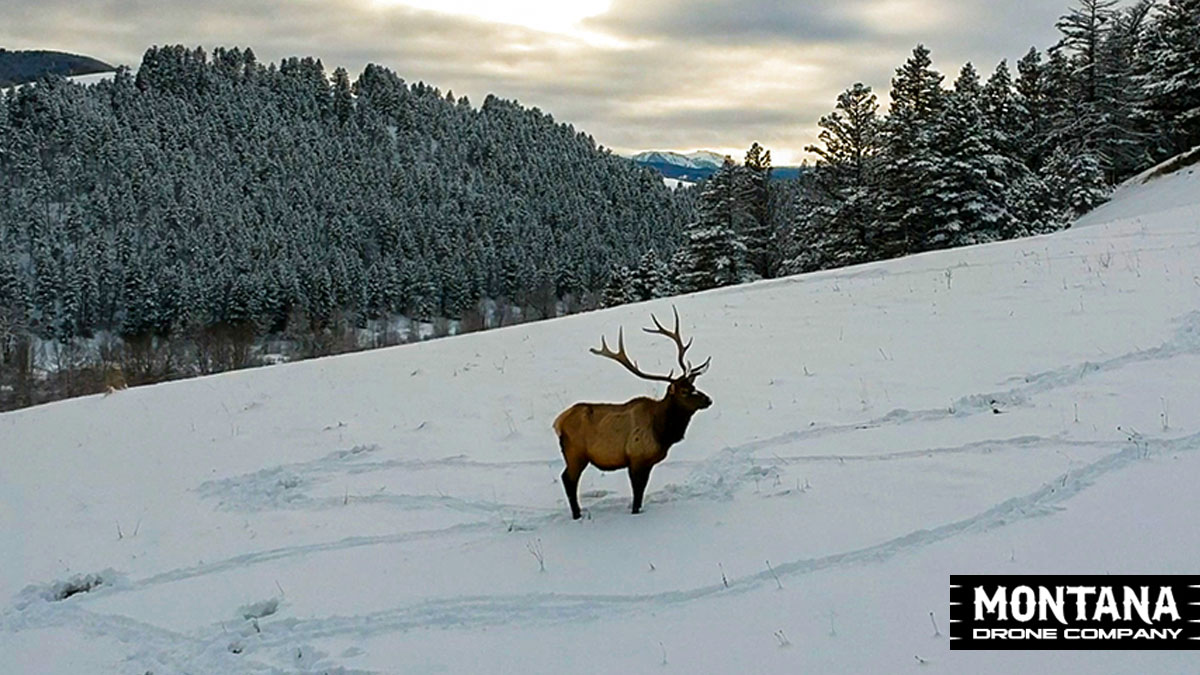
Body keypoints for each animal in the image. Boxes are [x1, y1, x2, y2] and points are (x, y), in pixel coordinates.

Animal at [554, 307, 710, 516]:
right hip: (575, 453)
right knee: (568, 480)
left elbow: (641, 492)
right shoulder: (636, 458)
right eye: (684, 391)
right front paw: (635, 513)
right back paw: (577, 514)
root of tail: (558, 422)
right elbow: (637, 494)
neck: (663, 432)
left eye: (694, 386)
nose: (708, 399)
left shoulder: (648, 463)